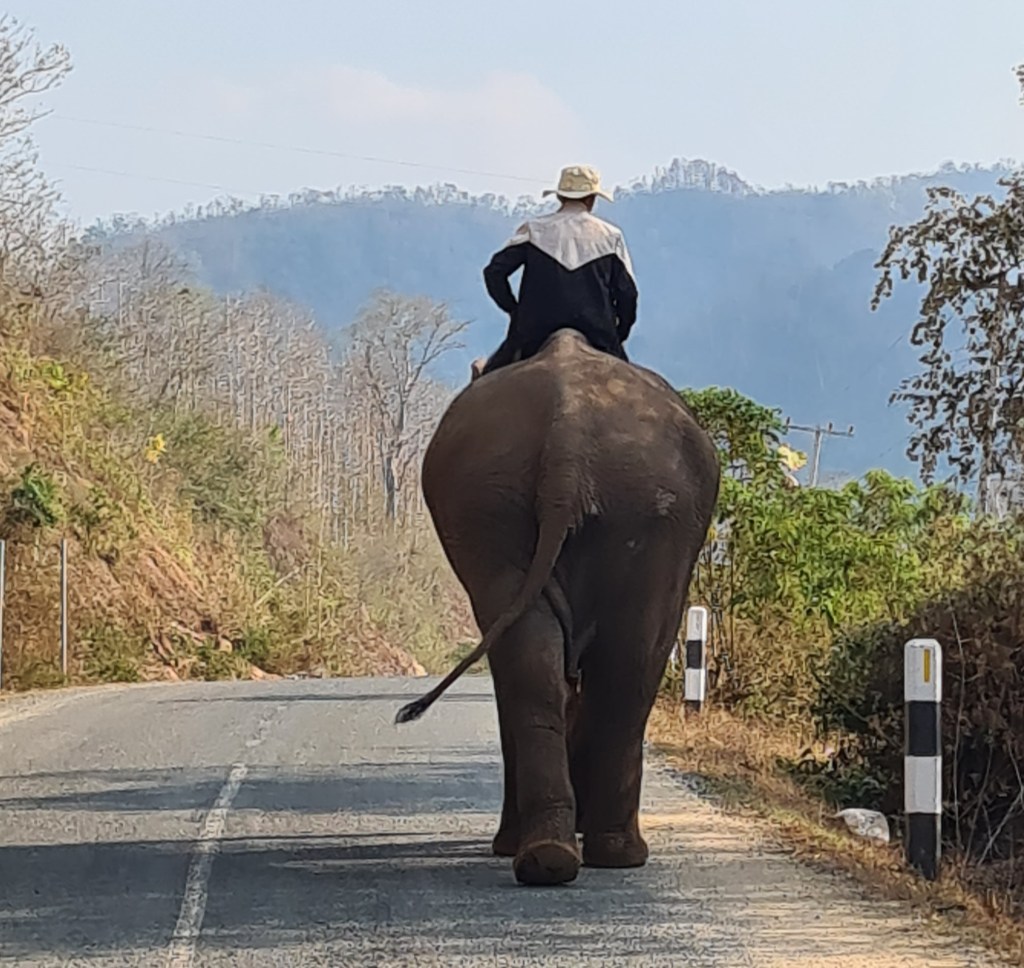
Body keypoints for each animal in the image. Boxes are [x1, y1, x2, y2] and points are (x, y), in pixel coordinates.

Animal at [395, 328, 720, 887]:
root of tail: (567, 439)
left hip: (502, 506)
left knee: (552, 664)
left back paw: (550, 857)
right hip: (621, 511)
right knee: (625, 659)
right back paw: (603, 854)